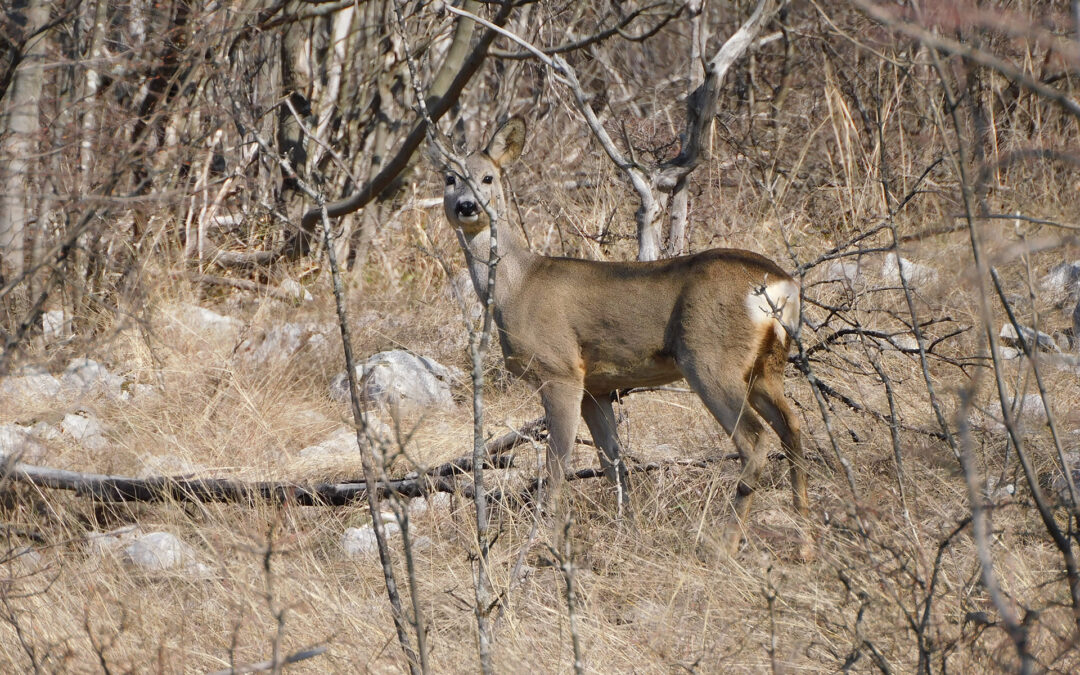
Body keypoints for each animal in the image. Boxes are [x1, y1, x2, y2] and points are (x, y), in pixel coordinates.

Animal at [440, 118, 812, 557]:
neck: (517, 286)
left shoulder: (560, 370)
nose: (467, 206)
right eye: (449, 178)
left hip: (710, 358)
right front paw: (628, 532)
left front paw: (547, 542)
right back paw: (805, 541)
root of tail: (783, 284)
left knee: (754, 440)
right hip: (767, 366)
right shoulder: (597, 387)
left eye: (488, 177)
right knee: (792, 428)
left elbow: (557, 465)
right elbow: (613, 464)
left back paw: (724, 544)